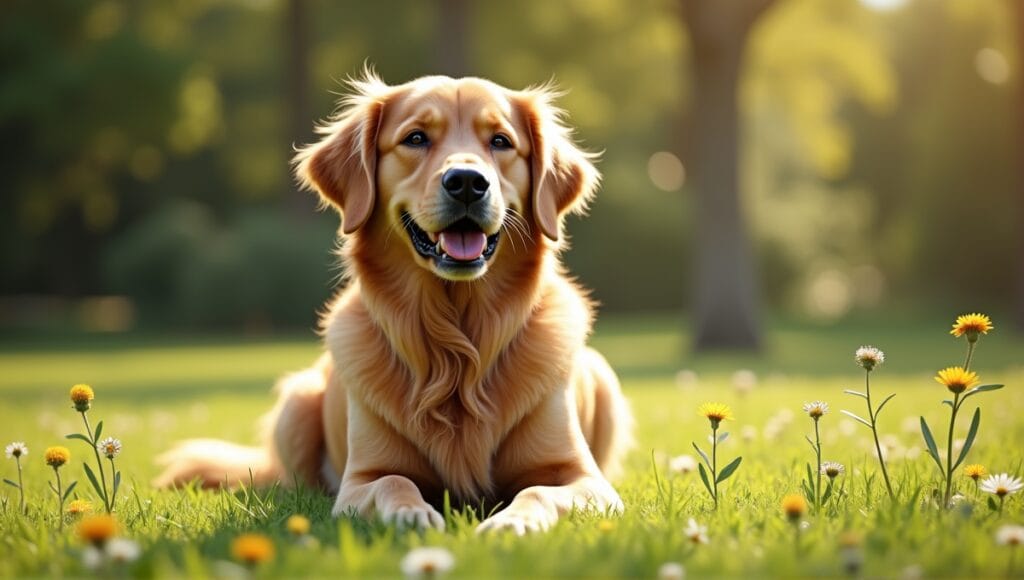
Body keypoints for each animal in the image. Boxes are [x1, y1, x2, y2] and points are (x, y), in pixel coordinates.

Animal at [155, 72, 630, 536]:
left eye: (500, 141)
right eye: (416, 138)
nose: (467, 182)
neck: (456, 345)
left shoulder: (585, 479)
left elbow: (537, 492)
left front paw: (514, 521)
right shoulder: (361, 480)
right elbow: (394, 481)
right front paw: (411, 514)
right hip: (297, 402)